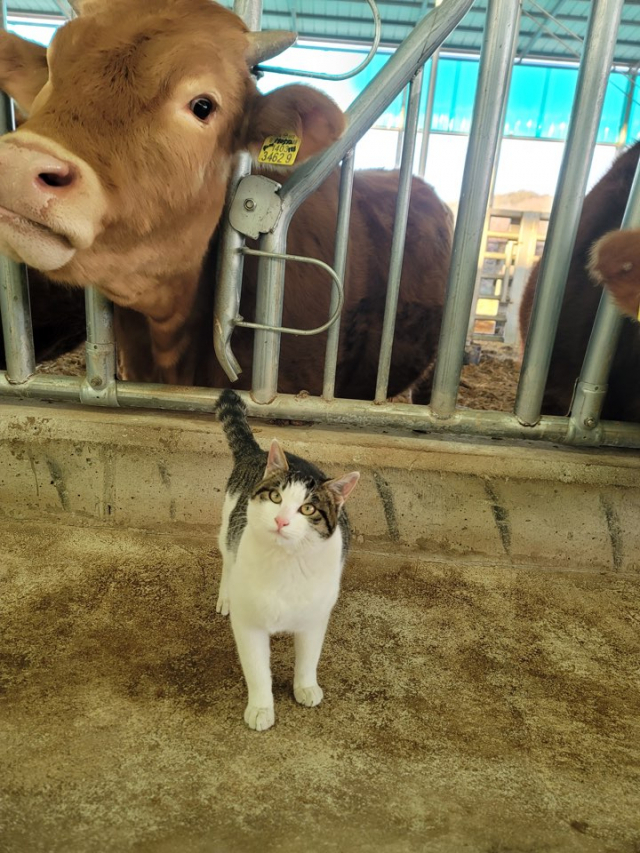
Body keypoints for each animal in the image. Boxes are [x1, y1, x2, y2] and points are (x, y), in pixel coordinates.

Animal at [216, 390, 360, 728]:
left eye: (308, 509)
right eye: (275, 497)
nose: (281, 520)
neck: (286, 563)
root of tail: (256, 453)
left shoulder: (315, 617)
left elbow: (309, 657)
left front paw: (306, 687)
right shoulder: (249, 623)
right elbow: (257, 670)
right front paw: (260, 708)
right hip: (229, 525)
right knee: (227, 559)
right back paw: (225, 596)